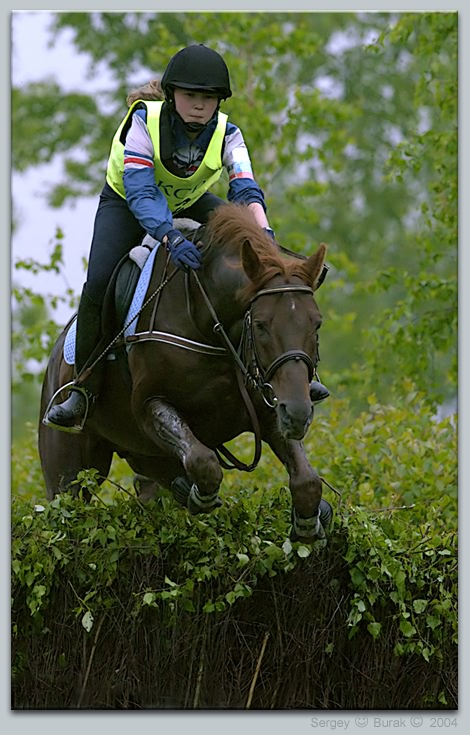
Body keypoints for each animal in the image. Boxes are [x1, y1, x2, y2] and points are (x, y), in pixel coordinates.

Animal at [38, 204, 332, 544]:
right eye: (260, 324)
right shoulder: (150, 406)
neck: (210, 325)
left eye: (316, 324)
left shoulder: (271, 408)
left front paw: (310, 522)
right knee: (68, 498)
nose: (298, 415)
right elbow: (204, 463)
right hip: (71, 471)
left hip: (142, 452)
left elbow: (307, 481)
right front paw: (199, 496)